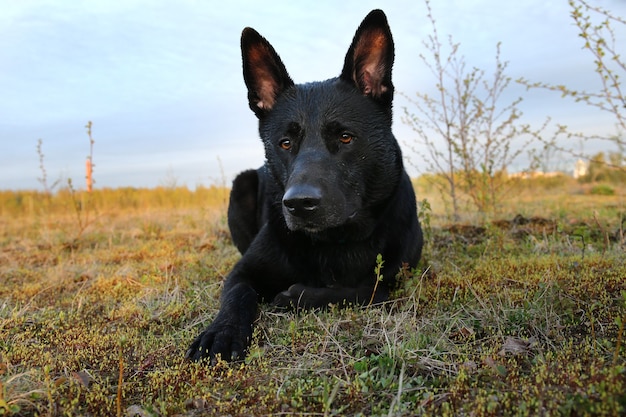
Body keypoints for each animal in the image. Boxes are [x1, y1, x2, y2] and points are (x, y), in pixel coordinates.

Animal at [183, 8, 422, 360]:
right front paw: (221, 333)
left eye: (345, 137)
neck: (333, 242)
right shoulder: (243, 271)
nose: (298, 204)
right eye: (285, 143)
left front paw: (298, 295)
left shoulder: (396, 278)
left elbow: (366, 290)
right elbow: (237, 294)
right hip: (241, 184)